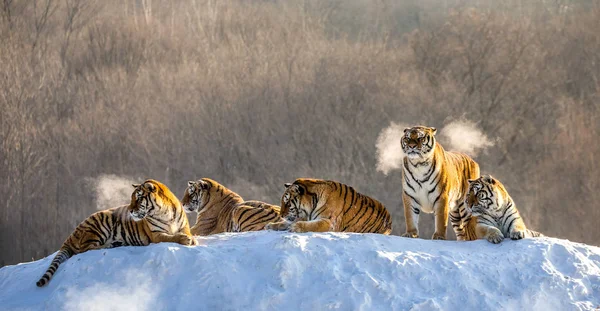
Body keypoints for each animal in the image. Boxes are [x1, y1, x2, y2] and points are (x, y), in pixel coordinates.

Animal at [35, 180, 197, 288]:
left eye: (138, 198)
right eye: (131, 198)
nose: (130, 211)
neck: (165, 212)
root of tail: (71, 235)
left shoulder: (184, 226)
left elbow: (185, 233)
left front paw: (192, 239)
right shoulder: (156, 235)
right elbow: (172, 237)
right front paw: (186, 240)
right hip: (100, 223)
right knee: (85, 249)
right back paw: (110, 246)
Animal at [264, 178, 392, 234]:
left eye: (287, 202)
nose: (281, 215)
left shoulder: (330, 222)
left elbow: (313, 225)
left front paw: (295, 227)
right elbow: (286, 223)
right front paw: (271, 225)